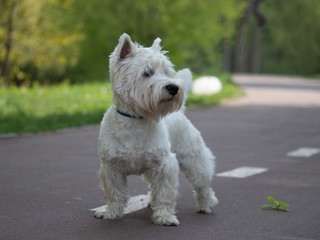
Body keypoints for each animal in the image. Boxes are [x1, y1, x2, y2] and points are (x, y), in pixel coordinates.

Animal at [95, 32, 219, 226]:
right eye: (147, 73)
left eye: (167, 72)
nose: (174, 87)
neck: (136, 120)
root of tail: (180, 112)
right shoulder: (111, 168)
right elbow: (114, 193)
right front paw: (111, 212)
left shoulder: (164, 165)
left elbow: (165, 193)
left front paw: (165, 217)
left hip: (193, 159)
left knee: (203, 184)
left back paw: (206, 205)